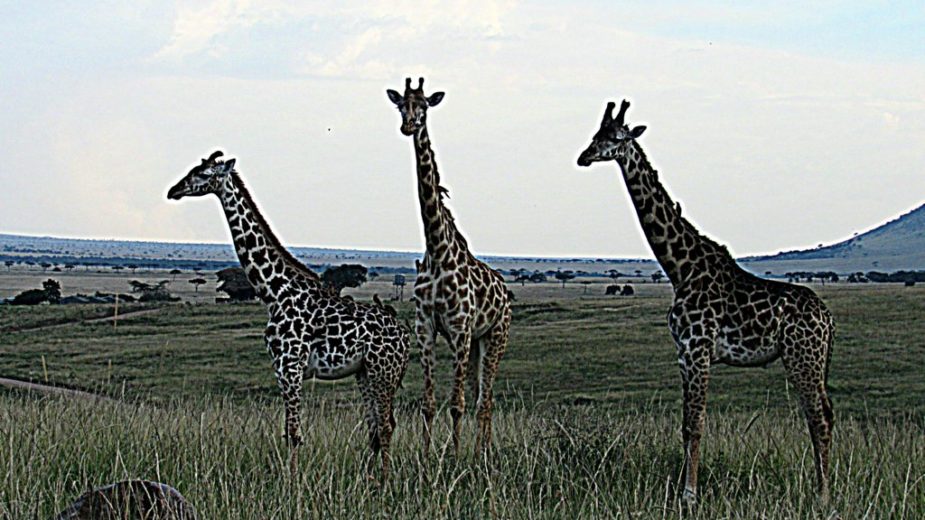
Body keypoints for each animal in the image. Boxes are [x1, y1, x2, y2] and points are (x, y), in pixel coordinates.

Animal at [167, 151, 410, 476]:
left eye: (204, 173)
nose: (174, 190)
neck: (275, 292)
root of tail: (406, 337)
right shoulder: (281, 368)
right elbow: (288, 432)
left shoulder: (290, 366)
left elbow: (294, 434)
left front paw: (291, 483)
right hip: (366, 372)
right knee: (375, 426)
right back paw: (369, 479)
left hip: (384, 372)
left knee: (385, 426)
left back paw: (383, 481)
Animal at [386, 78, 512, 455]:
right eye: (401, 105)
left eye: (425, 105)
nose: (409, 125)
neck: (438, 249)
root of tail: (506, 293)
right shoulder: (425, 326)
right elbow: (429, 403)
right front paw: (428, 457)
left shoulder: (458, 328)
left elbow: (456, 404)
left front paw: (454, 458)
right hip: (477, 342)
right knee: (481, 396)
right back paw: (480, 449)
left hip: (495, 337)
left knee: (485, 399)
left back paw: (481, 453)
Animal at [577, 100, 835, 503]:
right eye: (595, 134)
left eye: (616, 137)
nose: (584, 157)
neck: (680, 268)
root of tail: (827, 319)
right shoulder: (683, 353)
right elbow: (685, 424)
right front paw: (683, 490)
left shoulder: (698, 348)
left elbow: (696, 423)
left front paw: (690, 495)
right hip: (813, 360)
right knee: (825, 412)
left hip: (801, 357)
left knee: (818, 416)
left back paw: (822, 497)